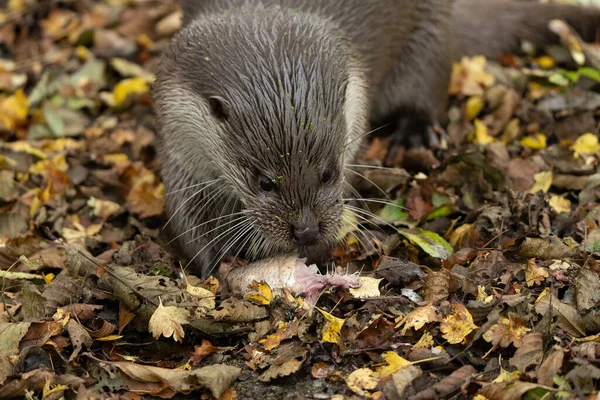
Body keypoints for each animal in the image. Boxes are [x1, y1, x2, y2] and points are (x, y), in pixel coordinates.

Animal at [155, 0, 600, 276]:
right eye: (264, 182)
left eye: (329, 174)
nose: (306, 230)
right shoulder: (178, 145)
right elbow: (186, 219)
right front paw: (216, 265)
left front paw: (314, 255)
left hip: (431, 33)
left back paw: (417, 132)